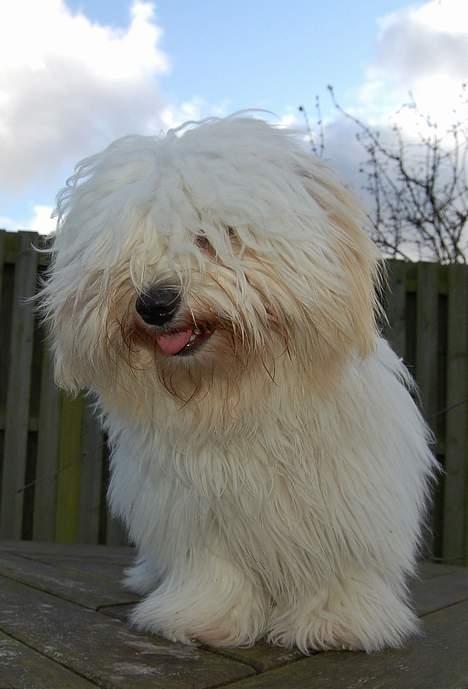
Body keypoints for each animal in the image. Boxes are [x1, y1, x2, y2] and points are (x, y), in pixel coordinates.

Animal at [40, 115, 436, 652]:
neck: (240, 394)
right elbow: (215, 569)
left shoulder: (345, 501)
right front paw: (203, 618)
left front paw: (335, 622)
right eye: (127, 253)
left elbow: (336, 567)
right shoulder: (196, 511)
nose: (154, 304)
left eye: (215, 237)